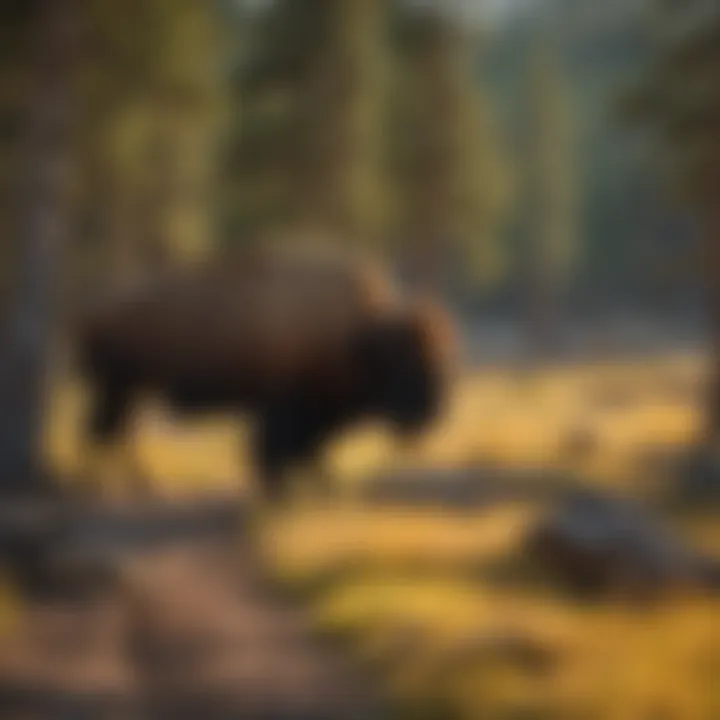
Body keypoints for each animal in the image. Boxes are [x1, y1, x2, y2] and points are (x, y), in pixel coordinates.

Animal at [73, 242, 456, 500]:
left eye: (443, 359)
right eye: (406, 360)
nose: (432, 414)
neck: (357, 334)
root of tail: (92, 309)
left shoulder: (316, 410)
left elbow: (310, 449)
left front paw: (318, 484)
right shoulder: (286, 404)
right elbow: (277, 448)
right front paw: (281, 490)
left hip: (131, 389)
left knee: (117, 432)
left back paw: (137, 484)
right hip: (117, 387)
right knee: (105, 432)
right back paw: (112, 486)